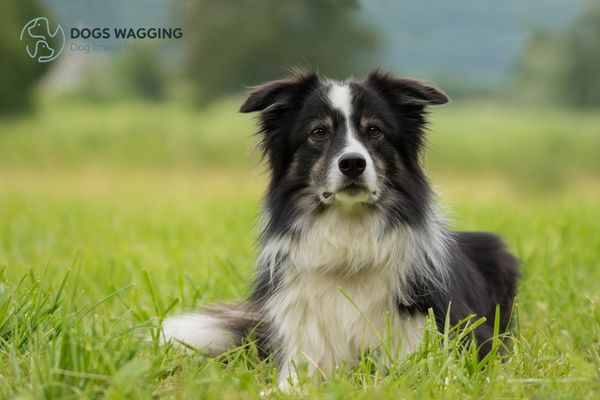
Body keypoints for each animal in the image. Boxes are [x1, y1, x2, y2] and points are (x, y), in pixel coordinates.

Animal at [162, 70, 516, 390]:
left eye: (374, 130)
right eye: (319, 132)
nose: (353, 163)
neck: (349, 244)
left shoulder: (446, 339)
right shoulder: (304, 350)